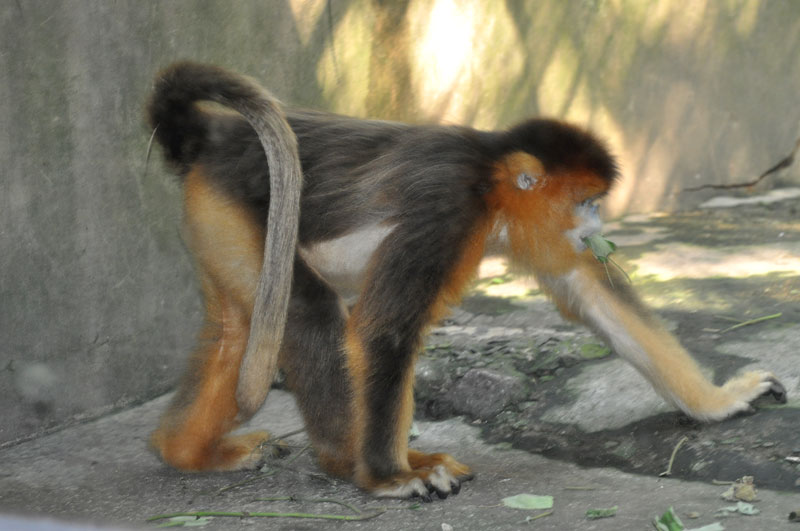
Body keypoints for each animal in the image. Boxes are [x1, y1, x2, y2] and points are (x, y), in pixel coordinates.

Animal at [145, 62, 787, 500]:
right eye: (586, 201)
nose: (597, 225)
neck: (487, 178)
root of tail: (214, 139)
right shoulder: (446, 208)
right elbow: (381, 332)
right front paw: (391, 478)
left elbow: (589, 290)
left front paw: (717, 403)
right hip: (237, 205)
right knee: (307, 313)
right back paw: (352, 466)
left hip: (218, 218)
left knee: (242, 328)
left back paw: (186, 454)